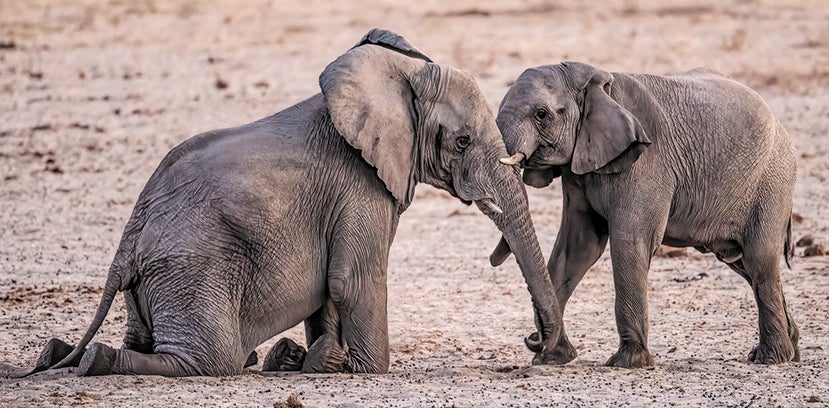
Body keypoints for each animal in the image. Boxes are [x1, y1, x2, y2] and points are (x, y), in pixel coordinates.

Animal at [21, 30, 564, 378]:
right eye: (462, 141)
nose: (538, 344)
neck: (400, 75)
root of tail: (126, 245)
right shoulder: (361, 185)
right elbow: (354, 281)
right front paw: (359, 369)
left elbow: (331, 289)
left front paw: (317, 360)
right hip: (191, 268)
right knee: (208, 359)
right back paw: (100, 361)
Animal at [492, 62, 796, 368]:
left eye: (541, 114)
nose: (532, 339)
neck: (592, 78)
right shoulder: (579, 167)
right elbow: (578, 247)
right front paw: (552, 358)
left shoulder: (646, 163)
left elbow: (630, 243)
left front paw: (628, 362)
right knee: (743, 264)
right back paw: (791, 351)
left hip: (773, 182)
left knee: (759, 261)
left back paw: (770, 358)